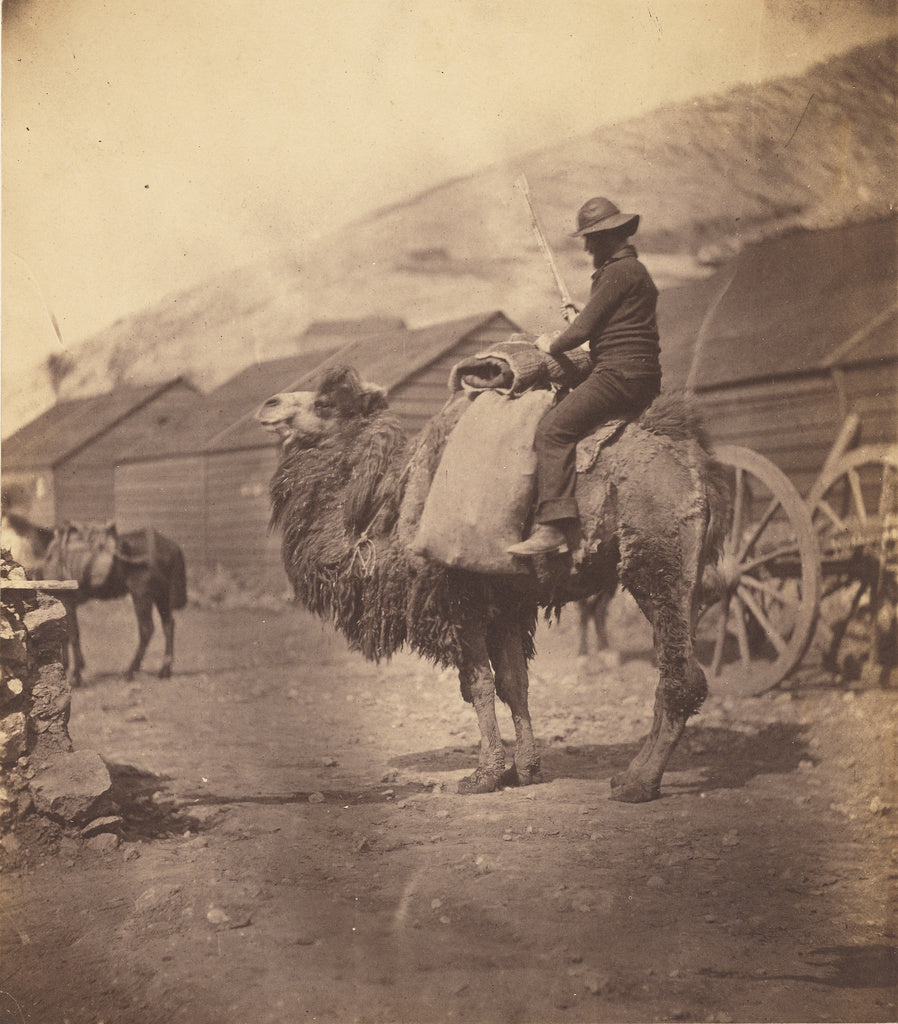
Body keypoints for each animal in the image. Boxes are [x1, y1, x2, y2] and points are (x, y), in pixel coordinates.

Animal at [255, 364, 733, 802]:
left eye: (324, 404)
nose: (269, 404)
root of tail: (697, 464)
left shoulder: (458, 598)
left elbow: (479, 684)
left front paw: (483, 775)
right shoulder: (505, 603)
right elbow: (513, 682)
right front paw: (525, 770)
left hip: (656, 558)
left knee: (680, 675)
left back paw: (637, 783)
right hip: (684, 573)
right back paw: (633, 774)